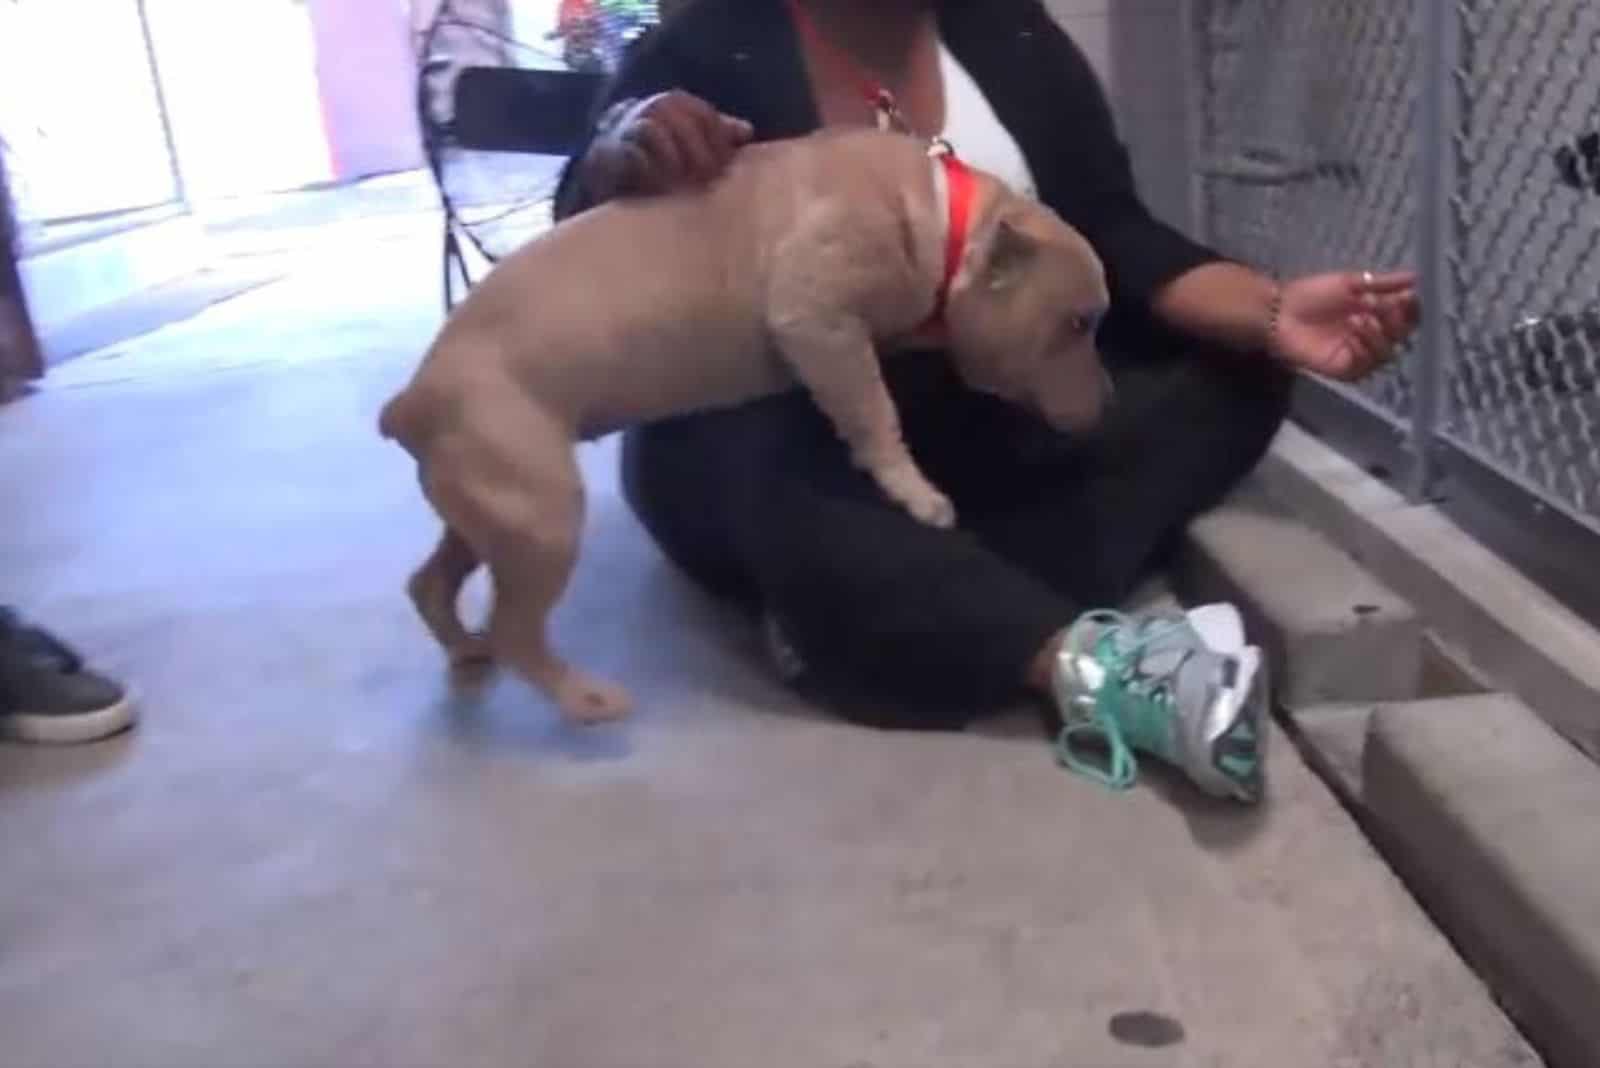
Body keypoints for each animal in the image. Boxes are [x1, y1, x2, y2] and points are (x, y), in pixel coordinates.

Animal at [379, 127, 1107, 725]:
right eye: (1079, 323)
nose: (1108, 399)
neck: (949, 225)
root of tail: (410, 401)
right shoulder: (820, 325)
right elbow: (875, 413)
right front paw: (914, 490)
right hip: (543, 520)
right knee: (516, 630)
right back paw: (584, 699)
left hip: (494, 515)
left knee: (433, 583)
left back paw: (466, 649)